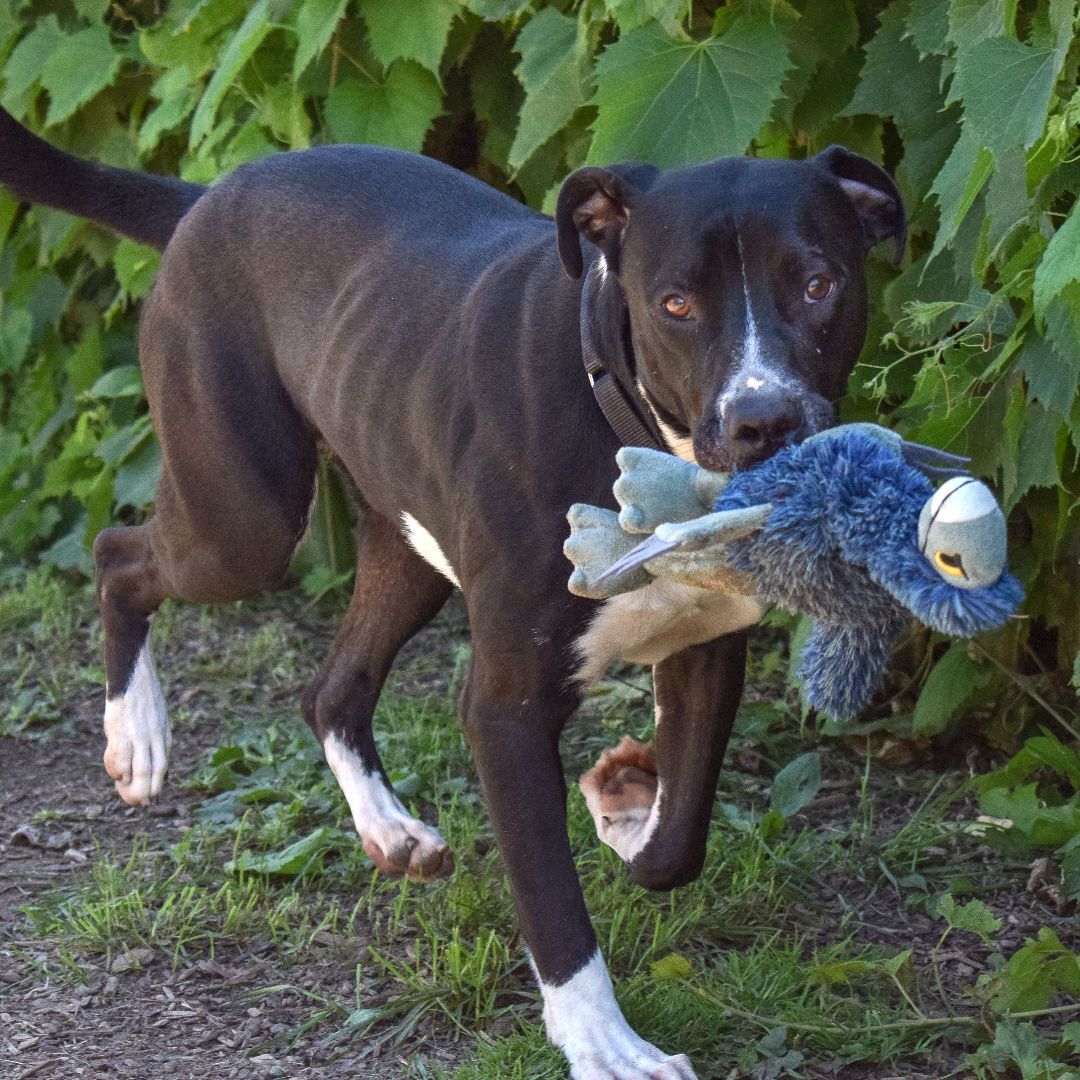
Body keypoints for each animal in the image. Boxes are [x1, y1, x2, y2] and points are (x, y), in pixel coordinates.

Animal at [2, 111, 902, 1080]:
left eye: (817, 284)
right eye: (675, 304)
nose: (763, 420)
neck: (637, 440)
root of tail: (208, 197)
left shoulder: (707, 649)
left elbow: (675, 845)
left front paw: (626, 807)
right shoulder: (506, 709)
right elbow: (554, 906)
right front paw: (605, 1044)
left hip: (404, 546)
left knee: (330, 689)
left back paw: (388, 829)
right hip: (244, 518)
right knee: (117, 555)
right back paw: (136, 735)